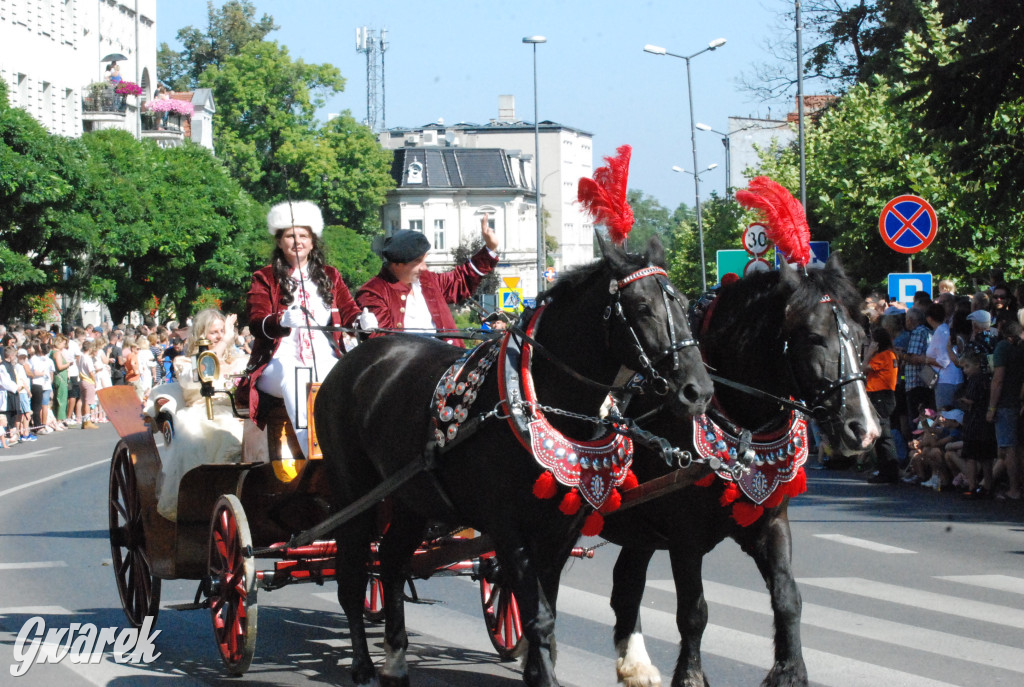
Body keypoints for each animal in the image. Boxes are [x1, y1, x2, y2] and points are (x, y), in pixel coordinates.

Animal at [317, 237, 712, 687]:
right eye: (642, 307)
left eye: (686, 303)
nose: (698, 391)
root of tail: (353, 361)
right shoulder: (508, 528)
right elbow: (536, 614)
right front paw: (543, 674)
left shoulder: (560, 529)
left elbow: (546, 607)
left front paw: (536, 668)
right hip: (353, 495)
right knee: (352, 573)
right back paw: (363, 665)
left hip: (410, 499)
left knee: (391, 562)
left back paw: (395, 658)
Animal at [598, 256, 880, 687]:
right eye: (815, 337)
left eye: (864, 339)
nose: (863, 430)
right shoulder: (684, 539)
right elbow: (693, 612)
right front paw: (691, 677)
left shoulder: (772, 522)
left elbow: (788, 597)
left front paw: (789, 672)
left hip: (639, 529)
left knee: (626, 585)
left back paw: (636, 666)